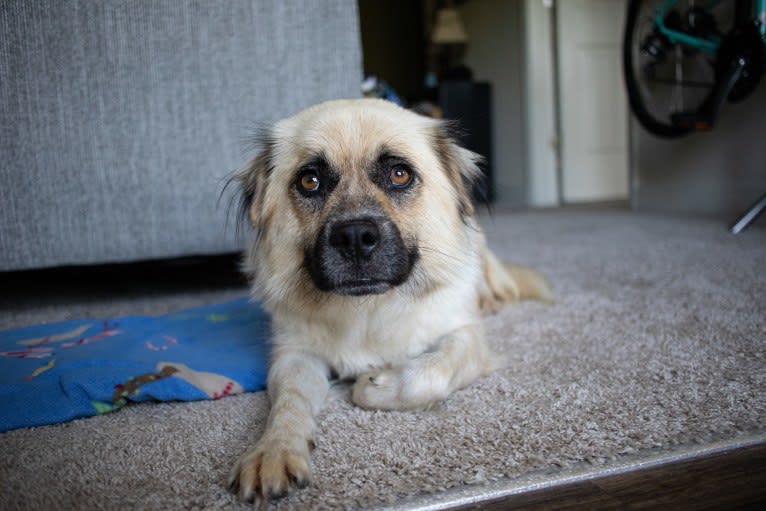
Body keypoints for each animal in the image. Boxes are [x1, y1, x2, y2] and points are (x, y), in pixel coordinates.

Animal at [228, 99, 552, 504]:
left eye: (399, 174)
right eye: (309, 181)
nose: (354, 237)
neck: (369, 309)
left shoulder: (466, 336)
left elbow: (426, 375)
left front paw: (373, 385)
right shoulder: (294, 356)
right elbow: (288, 402)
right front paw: (274, 450)